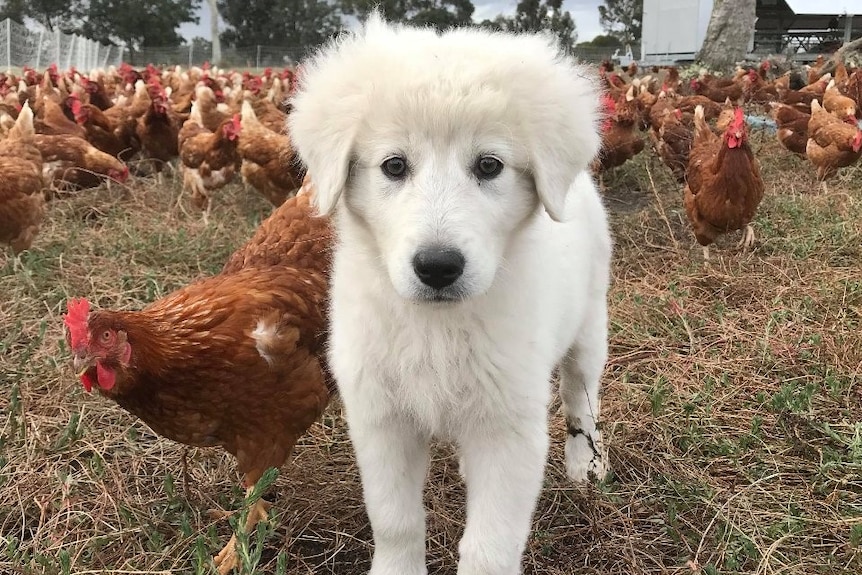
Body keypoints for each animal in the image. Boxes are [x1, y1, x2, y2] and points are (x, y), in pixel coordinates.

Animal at [290, 13, 616, 575]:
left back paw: (585, 463)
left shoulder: (510, 427)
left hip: (589, 326)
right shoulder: (381, 419)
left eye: (488, 166)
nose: (438, 267)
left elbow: (489, 546)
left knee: (581, 398)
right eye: (394, 166)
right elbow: (395, 522)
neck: (436, 324)